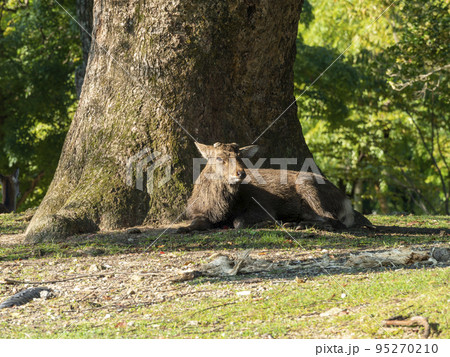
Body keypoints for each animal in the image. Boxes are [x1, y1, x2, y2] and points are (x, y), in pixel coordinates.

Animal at [177, 143, 372, 232]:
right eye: (219, 157)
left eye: (240, 156)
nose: (241, 173)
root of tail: (346, 201)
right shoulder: (197, 212)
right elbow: (192, 223)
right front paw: (183, 229)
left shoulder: (261, 207)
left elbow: (239, 222)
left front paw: (269, 222)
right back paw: (295, 222)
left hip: (308, 185)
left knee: (333, 220)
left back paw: (296, 225)